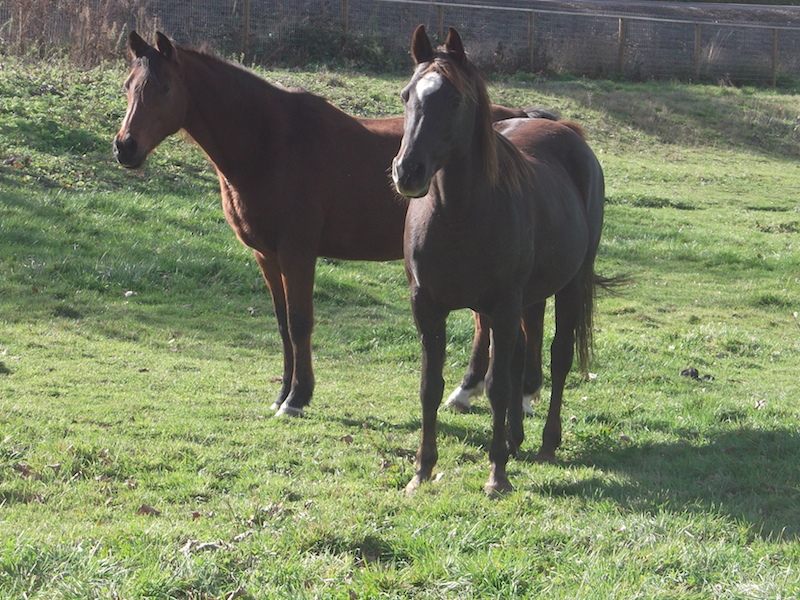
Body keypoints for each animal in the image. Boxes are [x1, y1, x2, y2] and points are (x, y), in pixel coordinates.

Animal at [113, 31, 536, 417]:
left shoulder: (298, 252)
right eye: (128, 86)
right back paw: (466, 392)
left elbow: (300, 323)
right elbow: (283, 325)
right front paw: (281, 394)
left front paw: (297, 399)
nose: (125, 147)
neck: (270, 143)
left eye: (164, 87)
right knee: (486, 324)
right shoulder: (267, 256)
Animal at [392, 26, 607, 494]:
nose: (407, 171)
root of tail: (565, 131)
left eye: (454, 100)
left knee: (558, 358)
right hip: (522, 301)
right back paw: (515, 438)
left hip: (568, 285)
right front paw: (421, 471)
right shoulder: (427, 306)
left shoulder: (504, 304)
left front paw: (497, 476)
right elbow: (430, 386)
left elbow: (497, 386)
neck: (458, 215)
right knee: (520, 355)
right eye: (406, 95)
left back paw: (545, 444)